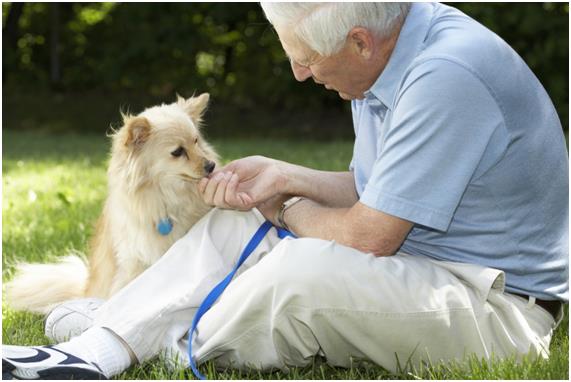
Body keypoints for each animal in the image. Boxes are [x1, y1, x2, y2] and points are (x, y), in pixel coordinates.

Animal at [5, 93, 219, 314]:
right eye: (177, 152)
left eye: (196, 141)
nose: (211, 165)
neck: (167, 197)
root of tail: (85, 289)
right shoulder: (135, 261)